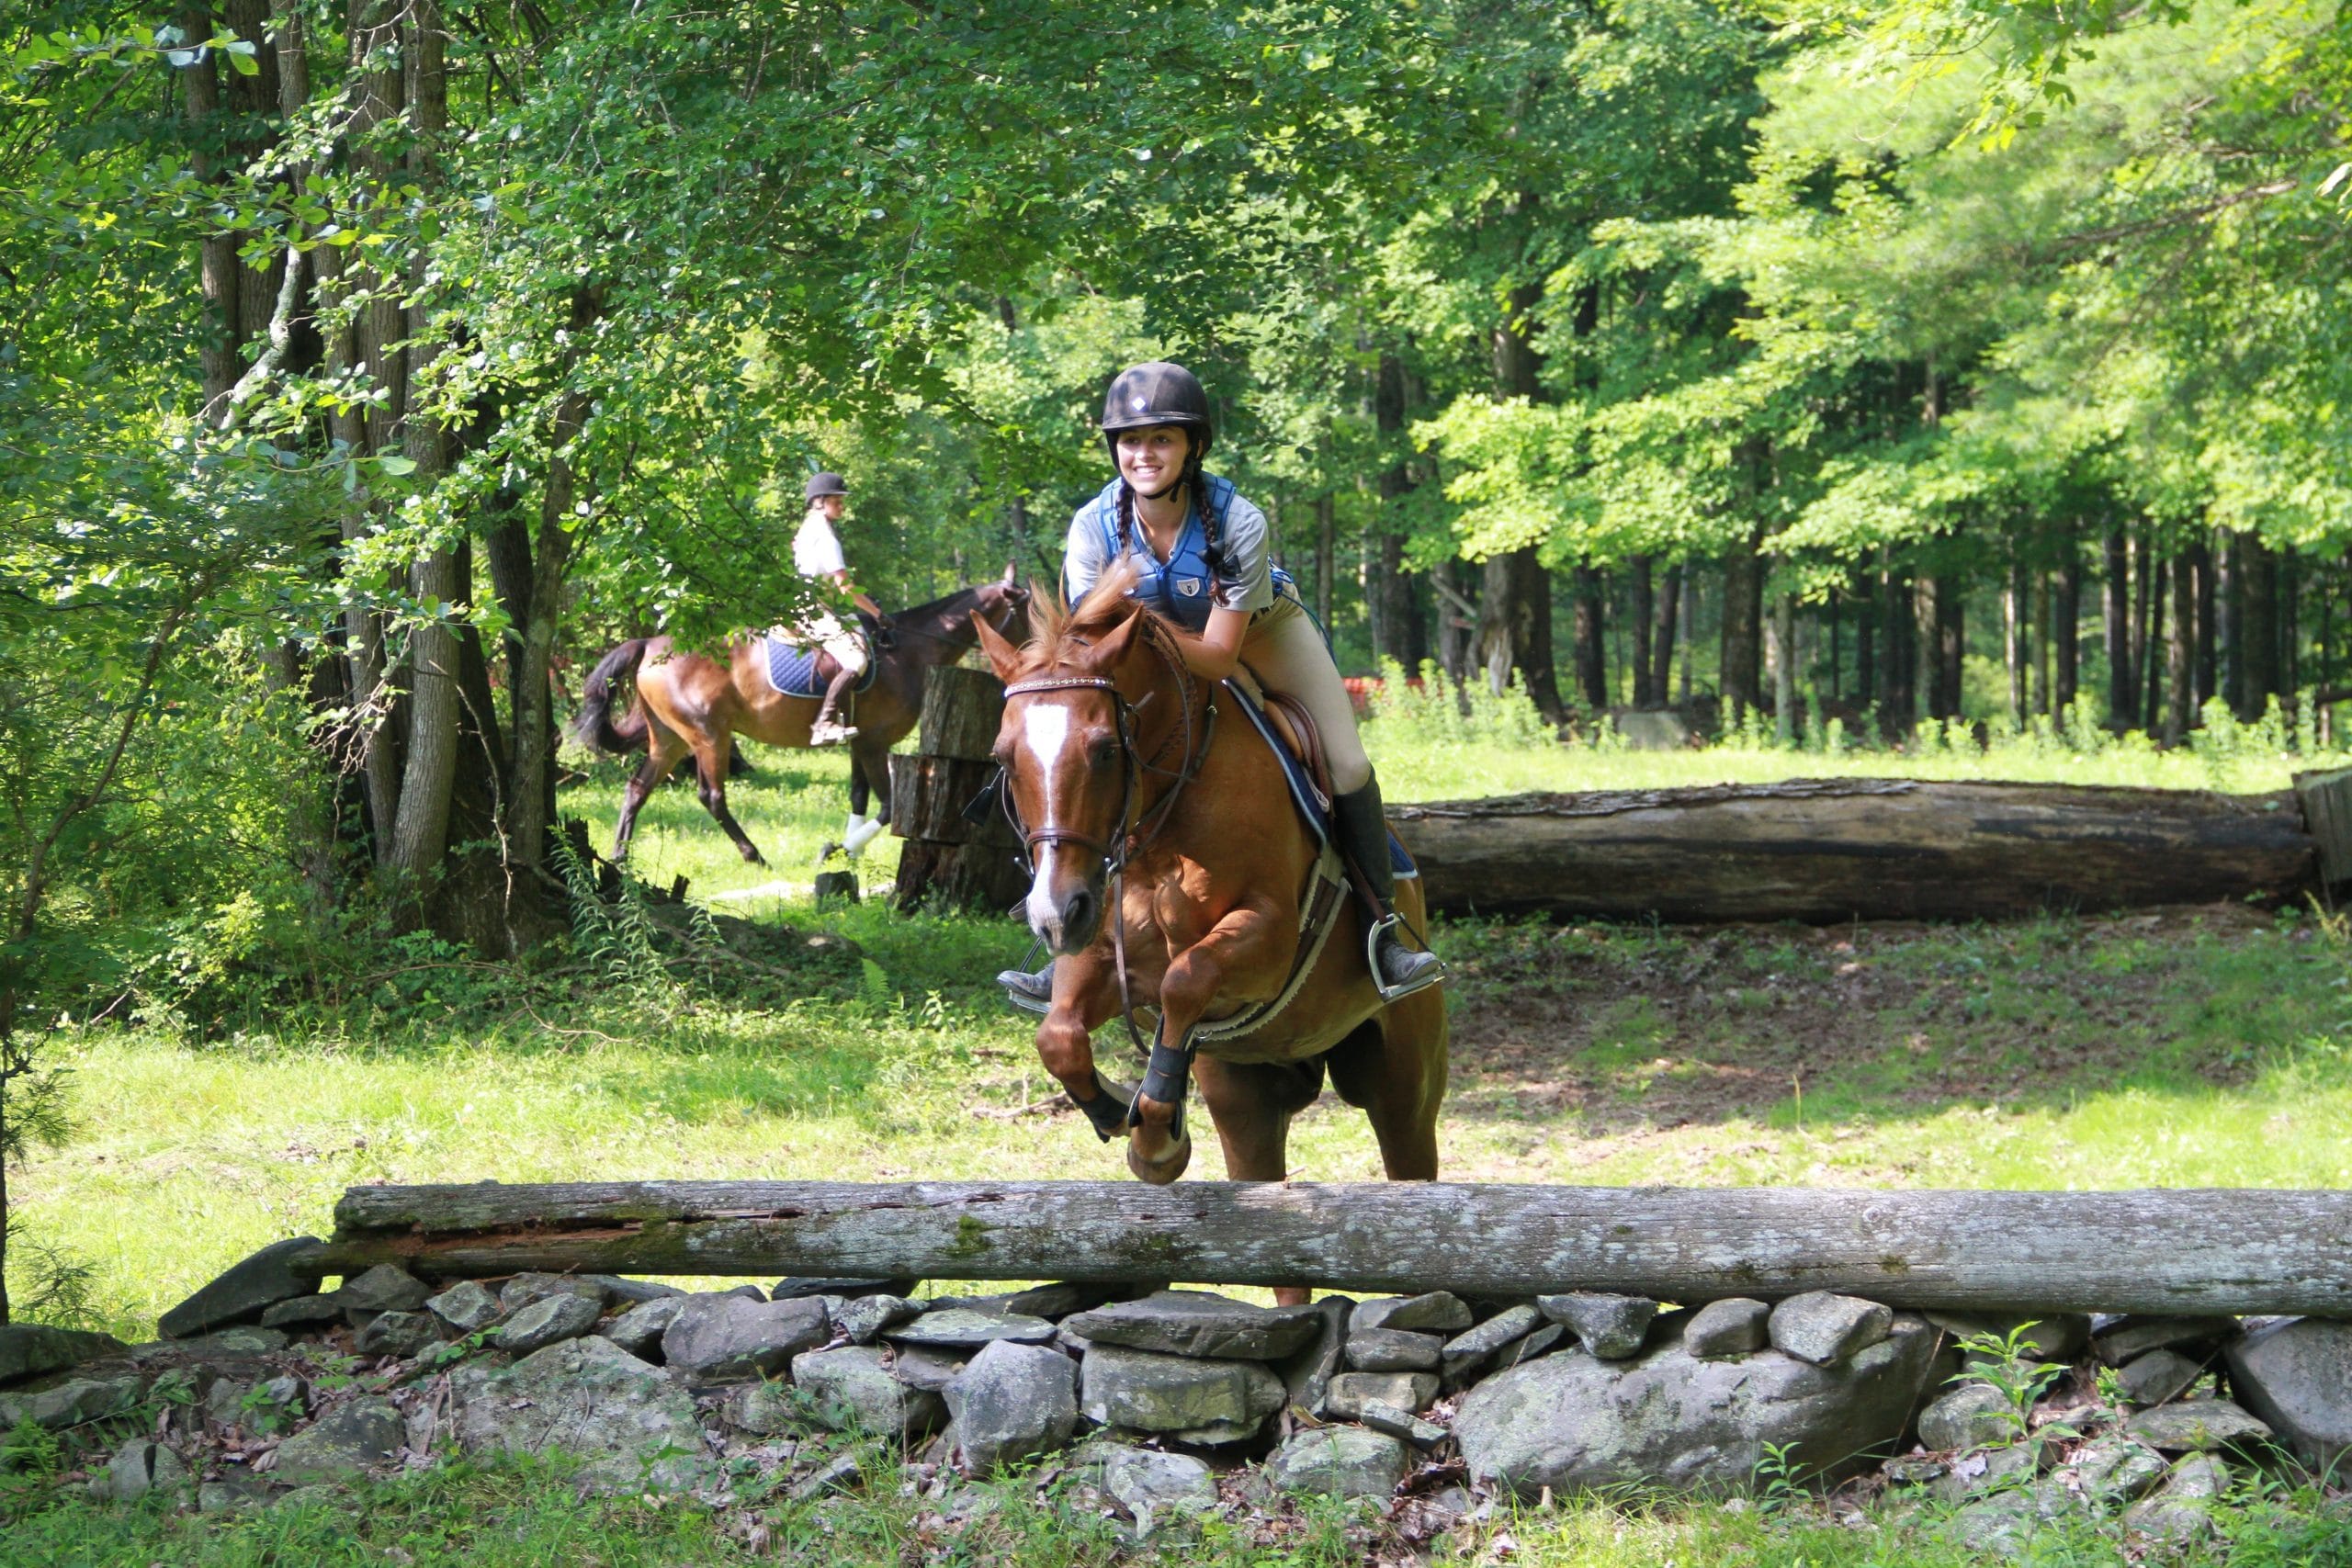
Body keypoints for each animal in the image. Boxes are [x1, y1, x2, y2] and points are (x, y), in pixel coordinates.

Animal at [571, 564, 1030, 864]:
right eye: (1026, 614)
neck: (912, 650)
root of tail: (651, 643)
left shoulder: (859, 743)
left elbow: (859, 798)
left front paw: (846, 855)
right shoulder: (874, 742)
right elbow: (887, 808)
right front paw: (841, 850)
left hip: (669, 737)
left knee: (638, 787)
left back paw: (619, 855)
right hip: (708, 735)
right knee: (712, 796)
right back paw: (753, 855)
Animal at [973, 570, 1448, 1213]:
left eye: (1104, 750)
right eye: (1003, 757)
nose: (1056, 915)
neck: (1162, 829)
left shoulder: (1270, 939)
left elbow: (1186, 978)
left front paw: (1156, 1136)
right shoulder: (1099, 950)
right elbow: (1059, 1035)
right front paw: (1124, 1115)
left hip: (1404, 1087)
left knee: (1408, 1145)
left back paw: (1400, 959)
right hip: (1247, 1098)